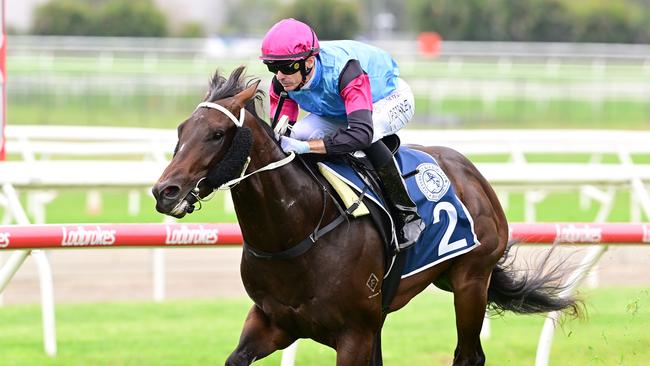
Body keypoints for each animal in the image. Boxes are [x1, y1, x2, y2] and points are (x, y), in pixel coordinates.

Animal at [152, 66, 576, 366]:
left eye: (217, 134)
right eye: (181, 130)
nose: (163, 191)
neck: (298, 232)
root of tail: (472, 172)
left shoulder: (354, 333)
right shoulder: (274, 322)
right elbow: (236, 357)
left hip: (471, 281)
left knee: (469, 355)